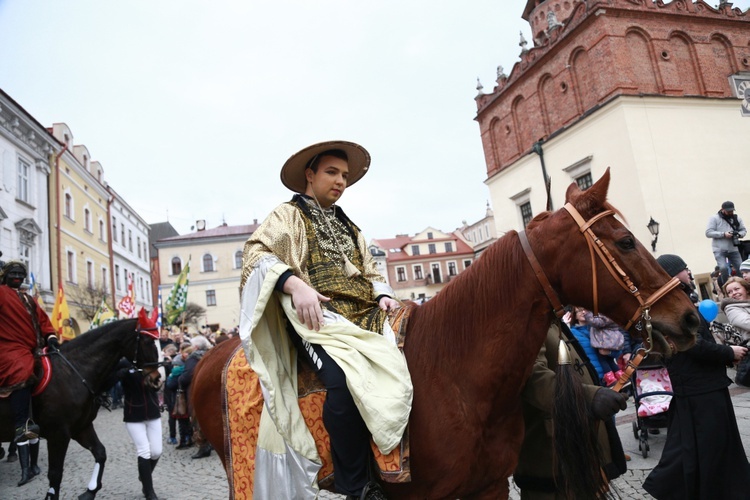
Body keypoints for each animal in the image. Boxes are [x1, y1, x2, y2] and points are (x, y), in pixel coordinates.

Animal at [0, 318, 162, 498]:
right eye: (148, 341)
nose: (157, 379)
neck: (73, 372)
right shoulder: (58, 434)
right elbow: (55, 474)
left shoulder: (81, 428)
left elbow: (100, 453)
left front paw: (91, 491)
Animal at [189, 170, 700, 498]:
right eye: (625, 242)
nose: (689, 318)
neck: (455, 377)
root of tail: (210, 359)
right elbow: (262, 250)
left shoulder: (489, 487)